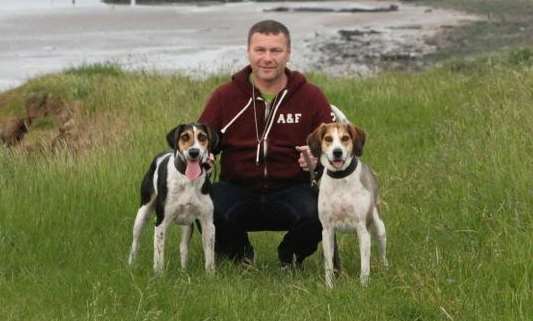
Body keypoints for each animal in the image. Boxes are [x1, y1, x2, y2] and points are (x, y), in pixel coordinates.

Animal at [128, 122, 218, 272]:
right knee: (135, 242)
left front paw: (210, 275)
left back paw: (184, 271)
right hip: (142, 213)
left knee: (183, 247)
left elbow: (210, 258)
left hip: (187, 224)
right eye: (185, 137)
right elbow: (159, 257)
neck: (188, 179)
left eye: (202, 137)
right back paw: (131, 264)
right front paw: (159, 275)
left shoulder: (208, 223)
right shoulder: (161, 223)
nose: (194, 152)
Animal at [308, 122, 386, 284]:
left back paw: (385, 269)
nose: (337, 152)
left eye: (345, 138)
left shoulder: (363, 228)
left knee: (383, 254)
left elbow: (364, 266)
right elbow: (329, 265)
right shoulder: (327, 230)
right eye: (328, 138)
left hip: (379, 227)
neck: (340, 179)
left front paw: (364, 285)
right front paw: (329, 286)